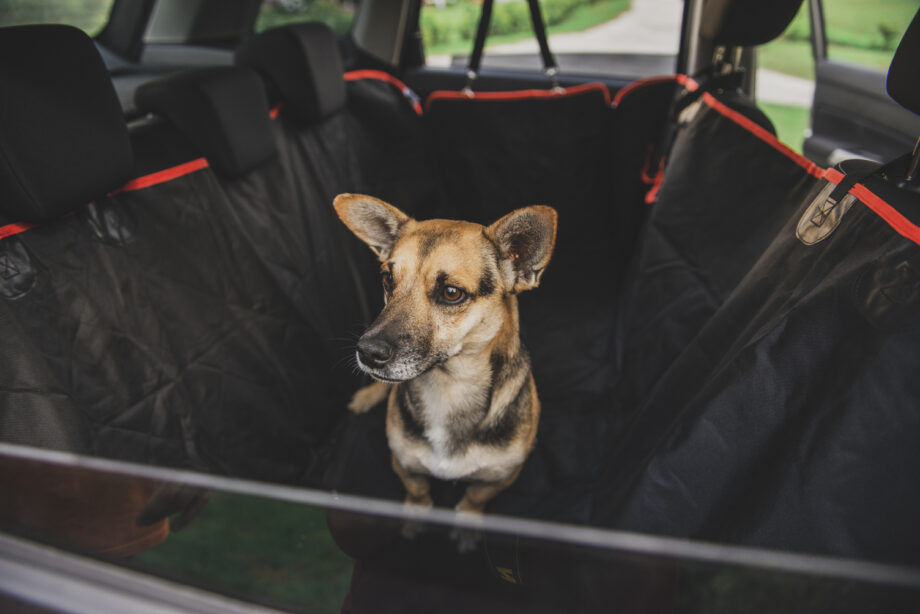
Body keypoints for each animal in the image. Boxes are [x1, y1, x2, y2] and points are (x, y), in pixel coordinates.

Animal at [334, 195, 556, 552]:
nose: (367, 352)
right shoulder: (404, 463)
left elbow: (473, 499)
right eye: (387, 280)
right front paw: (415, 518)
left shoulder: (501, 476)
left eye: (452, 292)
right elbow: (418, 492)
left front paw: (467, 526)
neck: (449, 387)